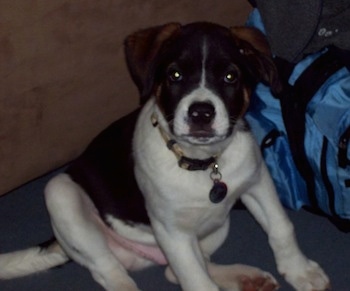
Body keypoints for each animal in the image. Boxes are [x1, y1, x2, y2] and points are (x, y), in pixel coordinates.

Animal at [0, 22, 330, 291]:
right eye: (175, 75)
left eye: (230, 76)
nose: (201, 113)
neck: (202, 163)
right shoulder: (172, 232)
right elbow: (197, 282)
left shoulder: (258, 182)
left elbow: (281, 227)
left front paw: (301, 271)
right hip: (61, 195)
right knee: (110, 272)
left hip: (216, 225)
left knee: (176, 271)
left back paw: (244, 278)